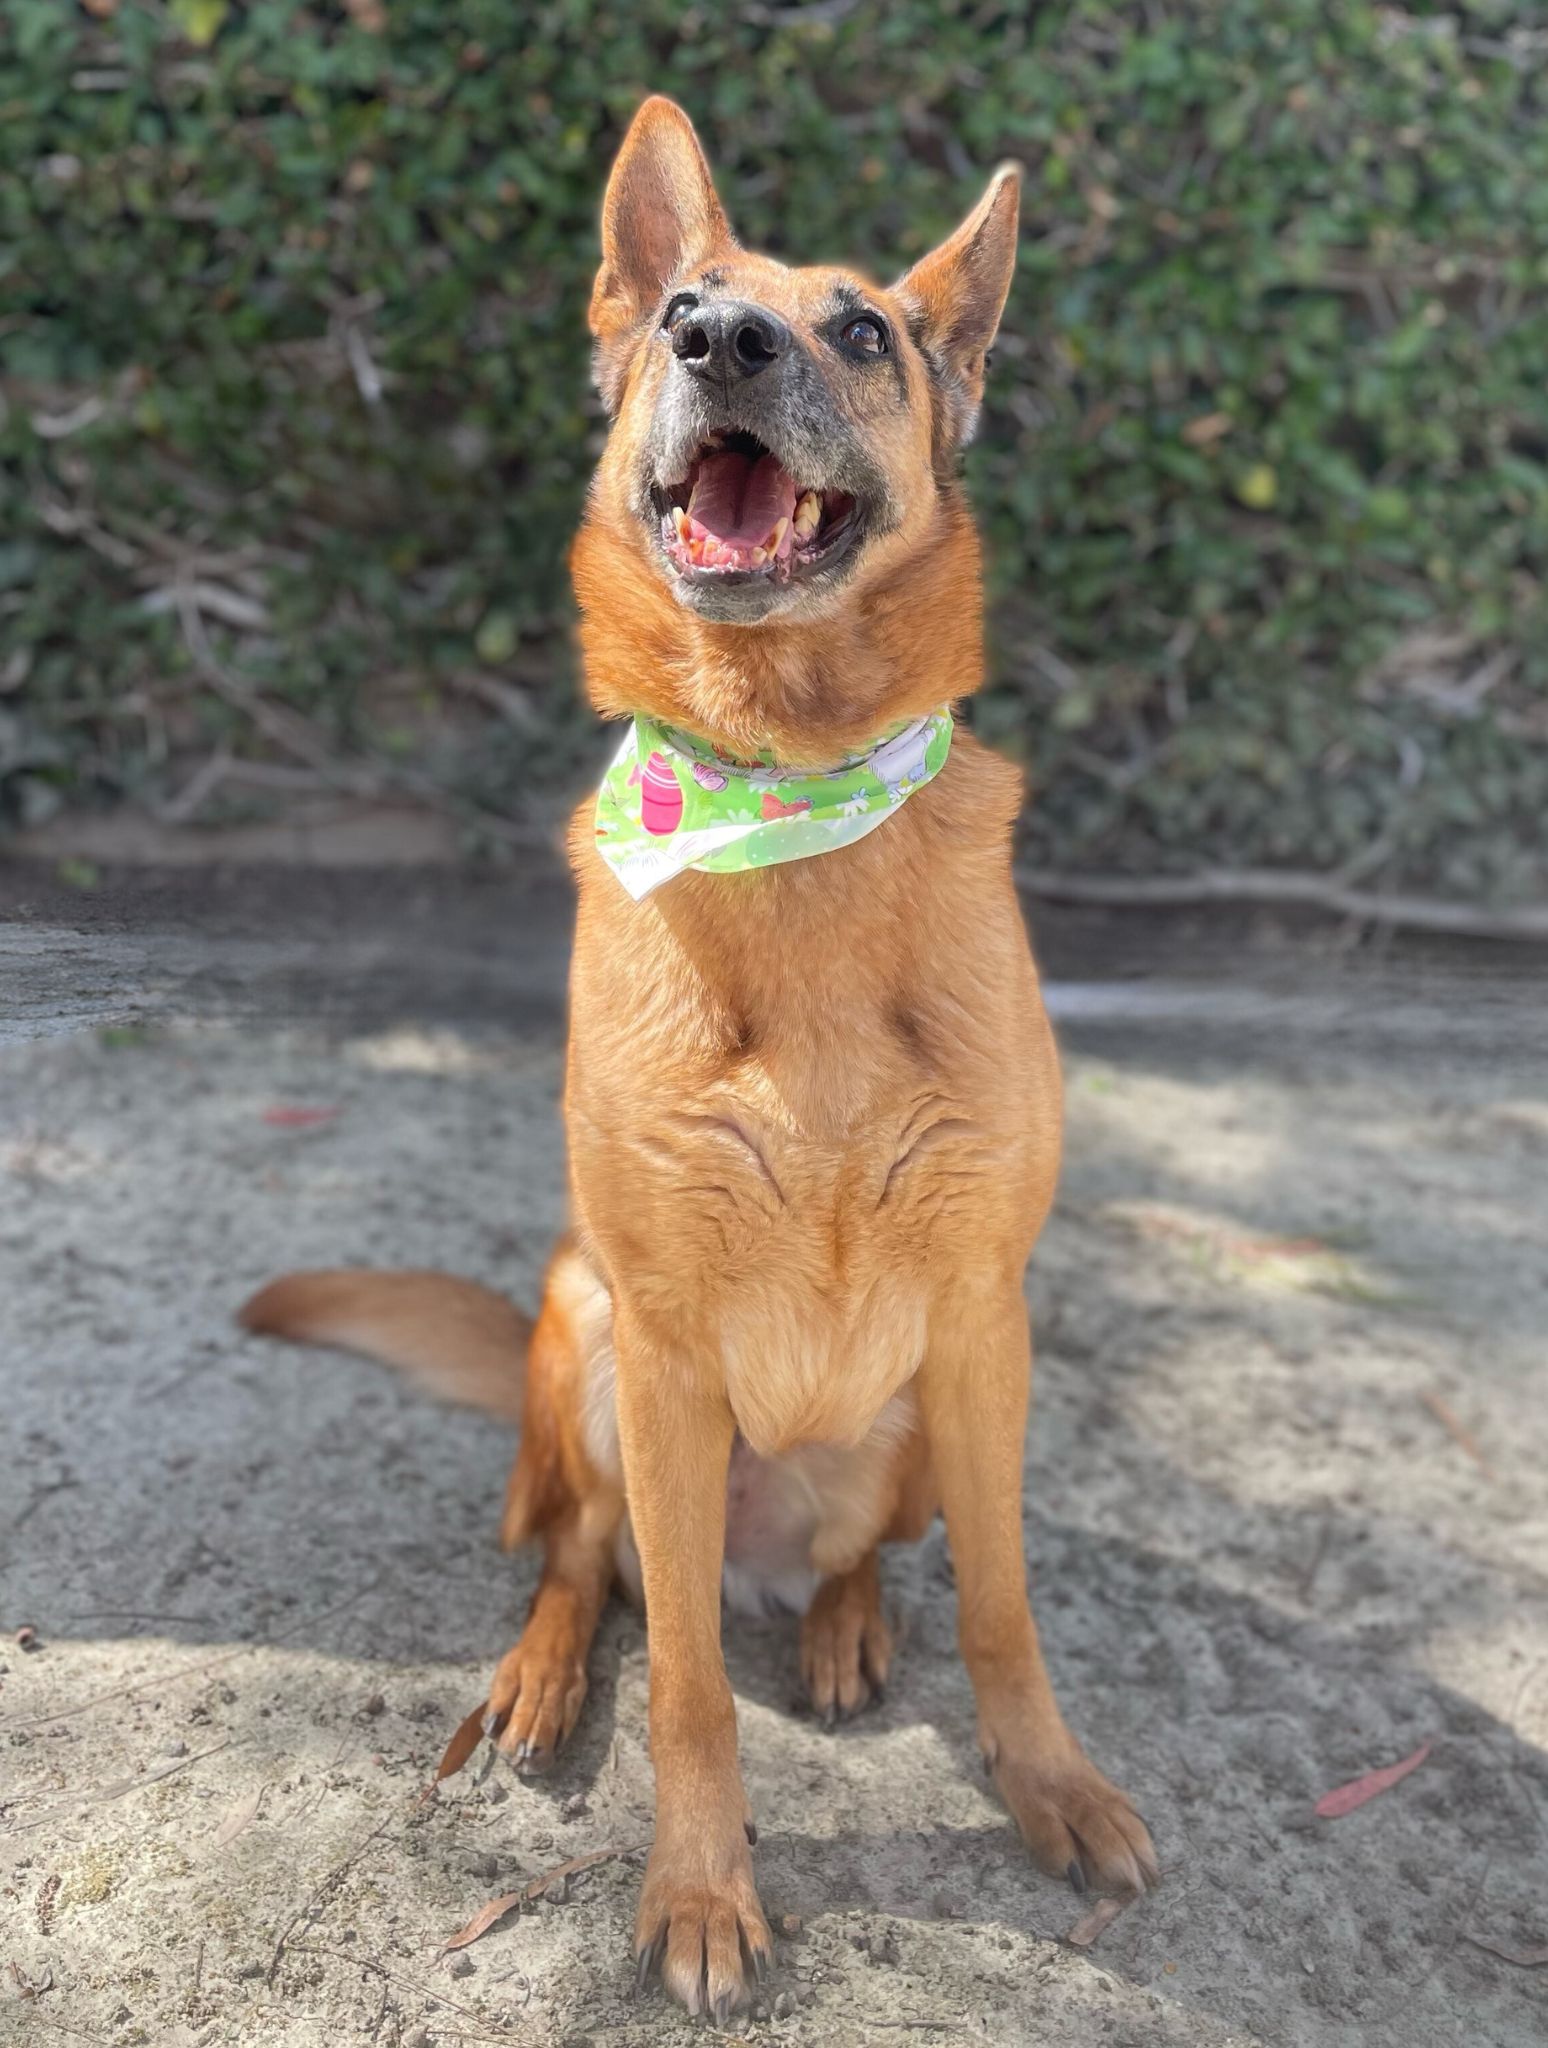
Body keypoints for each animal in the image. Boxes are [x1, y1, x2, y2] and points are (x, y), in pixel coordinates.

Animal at [241, 96, 1154, 2015]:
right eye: (685, 303)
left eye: (863, 328)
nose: (718, 341)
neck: (780, 803)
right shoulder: (663, 1346)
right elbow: (679, 1688)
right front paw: (699, 1887)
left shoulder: (985, 1319)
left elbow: (1004, 1606)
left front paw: (1043, 1782)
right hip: (586, 1333)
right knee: (592, 1567)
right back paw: (537, 1676)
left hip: (906, 1421)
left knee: (861, 1560)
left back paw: (841, 1621)